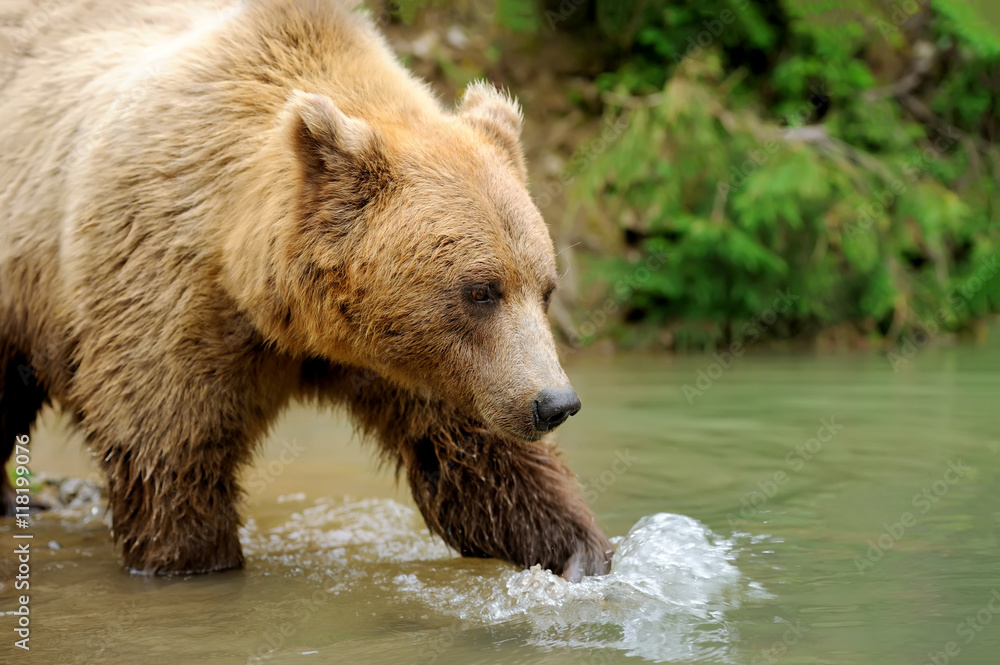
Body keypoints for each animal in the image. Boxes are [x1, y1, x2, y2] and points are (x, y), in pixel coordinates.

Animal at [0, 0, 608, 580]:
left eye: (545, 288)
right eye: (480, 290)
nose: (556, 403)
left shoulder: (427, 365)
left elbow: (476, 459)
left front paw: (579, 552)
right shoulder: (163, 290)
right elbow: (170, 454)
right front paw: (191, 557)